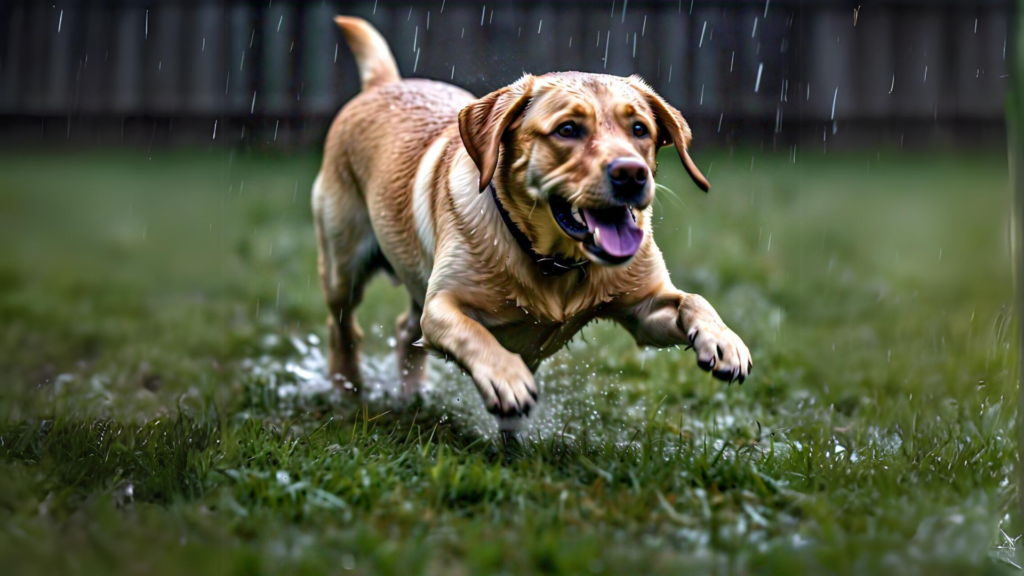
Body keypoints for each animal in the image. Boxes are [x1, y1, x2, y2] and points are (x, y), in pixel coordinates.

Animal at [311, 15, 753, 414]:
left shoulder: (644, 310)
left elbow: (693, 299)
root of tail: (385, 84)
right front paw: (506, 376)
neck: (557, 261)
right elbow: (472, 334)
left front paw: (723, 339)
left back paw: (412, 396)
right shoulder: (441, 307)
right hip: (342, 268)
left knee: (404, 329)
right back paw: (347, 389)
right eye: (568, 129)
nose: (631, 173)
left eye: (640, 130)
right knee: (343, 326)